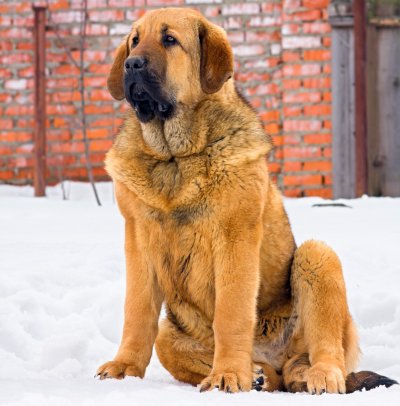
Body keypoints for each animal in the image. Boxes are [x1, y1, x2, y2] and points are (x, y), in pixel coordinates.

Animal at [96, 6, 396, 394]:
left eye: (169, 39)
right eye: (134, 41)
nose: (131, 64)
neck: (175, 157)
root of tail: (278, 360)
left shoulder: (234, 237)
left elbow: (231, 313)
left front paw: (228, 374)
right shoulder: (139, 239)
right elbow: (136, 311)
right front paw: (125, 369)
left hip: (317, 258)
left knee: (325, 351)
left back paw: (316, 375)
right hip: (169, 333)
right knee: (274, 373)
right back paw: (259, 374)